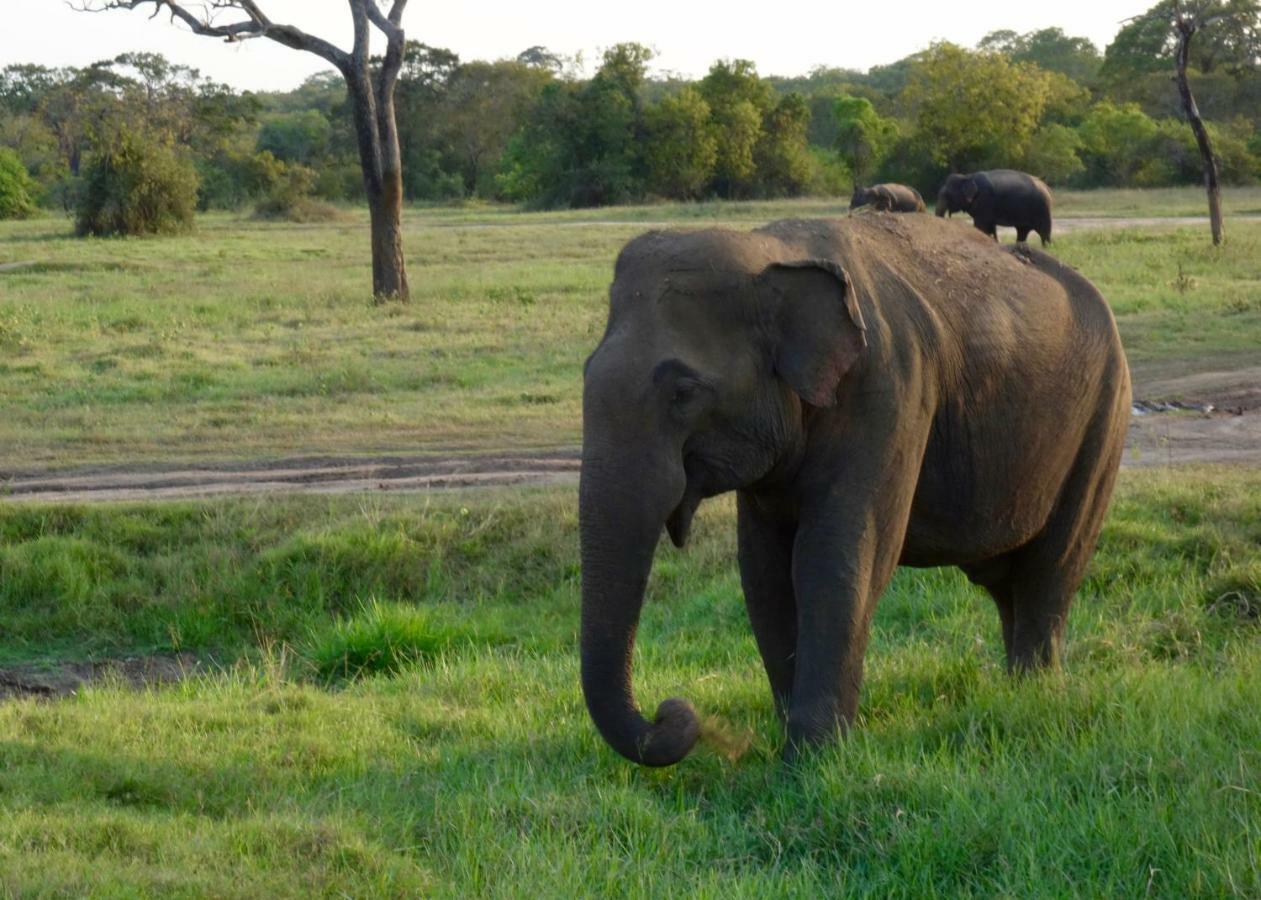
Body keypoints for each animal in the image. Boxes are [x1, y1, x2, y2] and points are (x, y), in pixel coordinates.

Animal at [577, 211, 1129, 766]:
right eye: (585, 373)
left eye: (684, 393)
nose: (677, 712)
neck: (771, 250)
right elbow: (764, 572)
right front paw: (793, 743)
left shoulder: (889, 390)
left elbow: (836, 554)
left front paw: (812, 758)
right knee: (1005, 580)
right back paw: (1015, 689)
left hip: (1103, 418)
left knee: (1052, 565)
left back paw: (1034, 692)